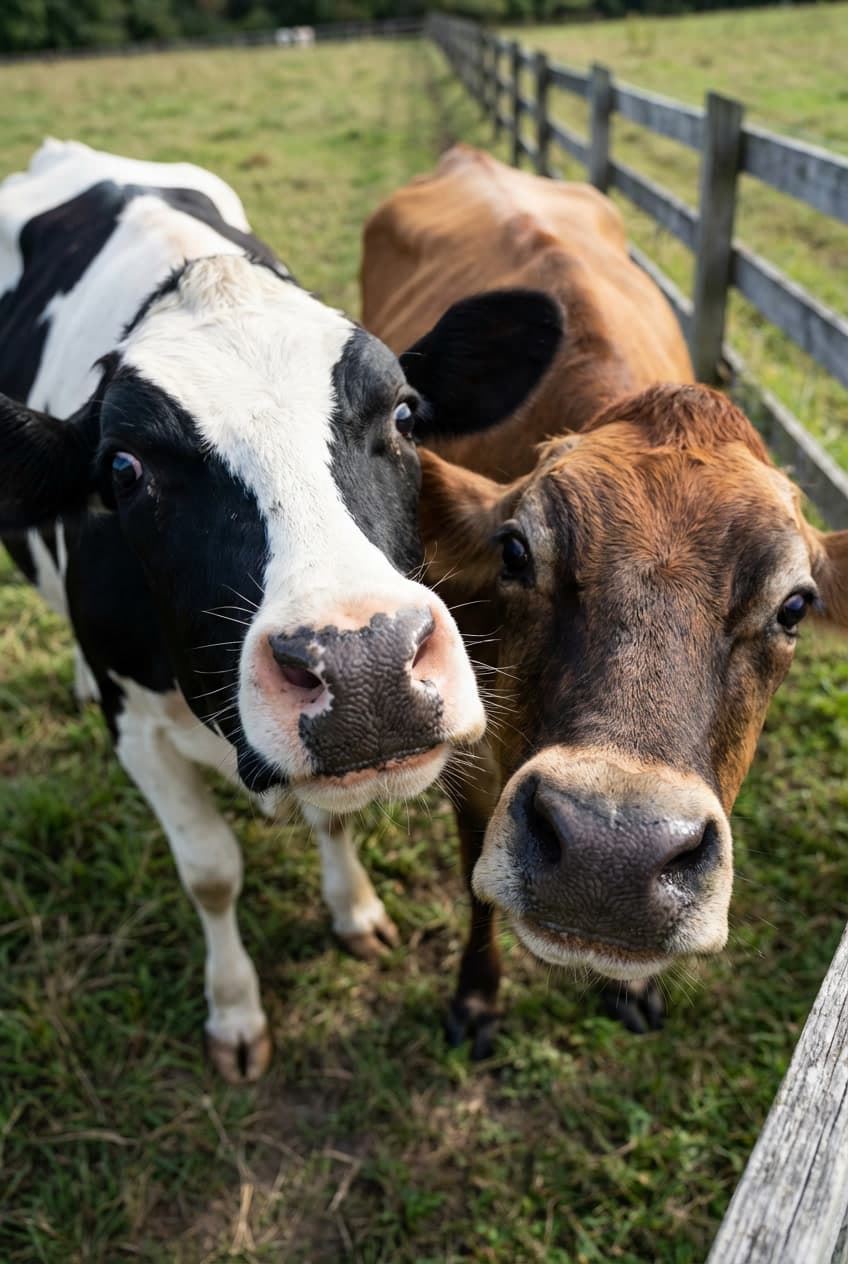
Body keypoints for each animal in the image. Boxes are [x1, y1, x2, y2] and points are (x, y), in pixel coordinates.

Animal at [0, 139, 562, 1080]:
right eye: (123, 469)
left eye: (405, 414)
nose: (366, 667)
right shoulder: (135, 727)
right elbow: (210, 871)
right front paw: (234, 1012)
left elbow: (331, 819)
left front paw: (355, 910)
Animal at [361, 144, 848, 1054]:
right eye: (516, 552)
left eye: (794, 606)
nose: (610, 851)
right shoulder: (469, 746)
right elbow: (473, 869)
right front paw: (477, 996)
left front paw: (633, 988)